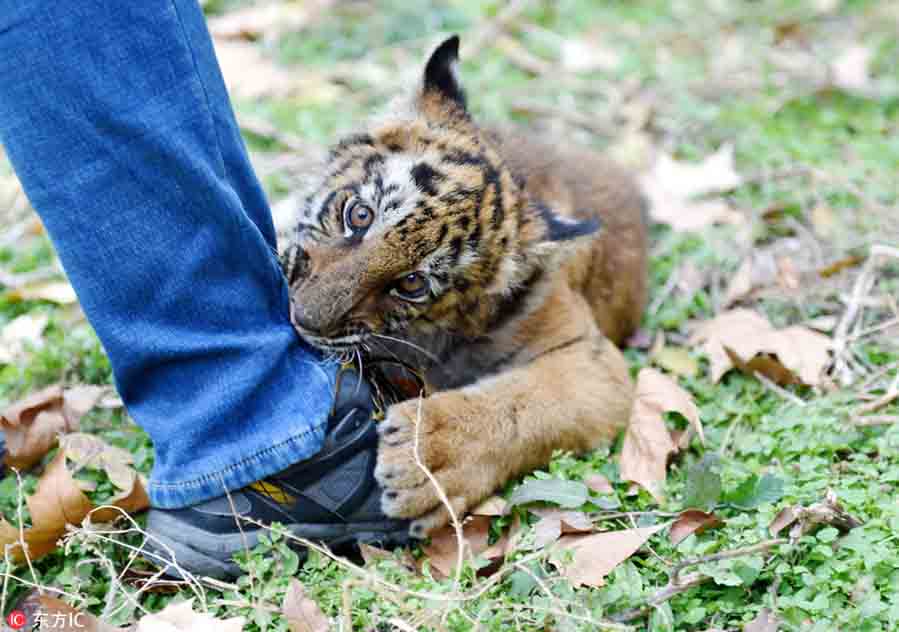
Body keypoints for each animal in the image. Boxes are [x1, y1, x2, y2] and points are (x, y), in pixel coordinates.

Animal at [281, 35, 648, 537]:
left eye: (411, 284)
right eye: (358, 214)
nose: (304, 319)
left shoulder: (592, 360)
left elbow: (524, 403)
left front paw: (426, 460)